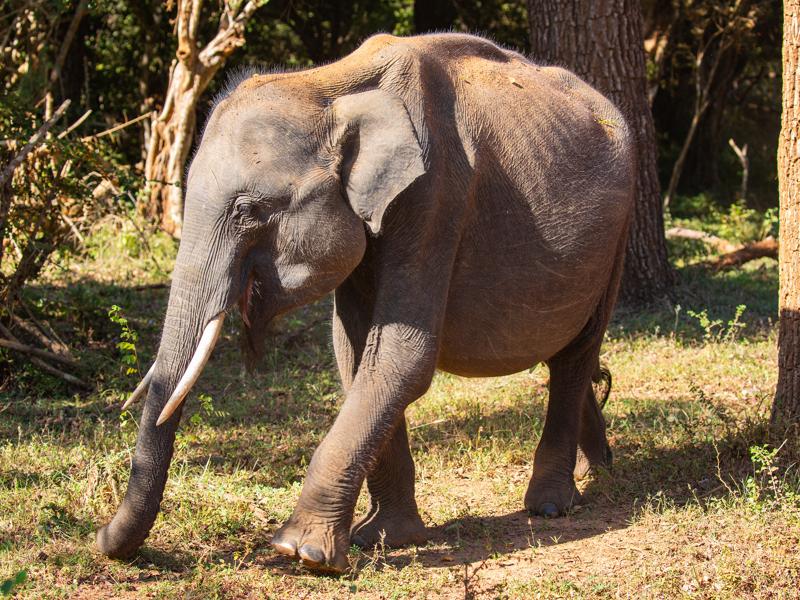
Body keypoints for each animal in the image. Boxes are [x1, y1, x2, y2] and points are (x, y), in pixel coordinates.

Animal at [96, 32, 635, 573]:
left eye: (248, 211)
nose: (100, 537)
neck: (329, 87)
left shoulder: (437, 196)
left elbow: (402, 356)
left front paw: (303, 552)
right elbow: (354, 355)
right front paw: (385, 538)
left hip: (616, 240)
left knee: (575, 355)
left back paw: (551, 505)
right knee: (565, 355)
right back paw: (598, 468)